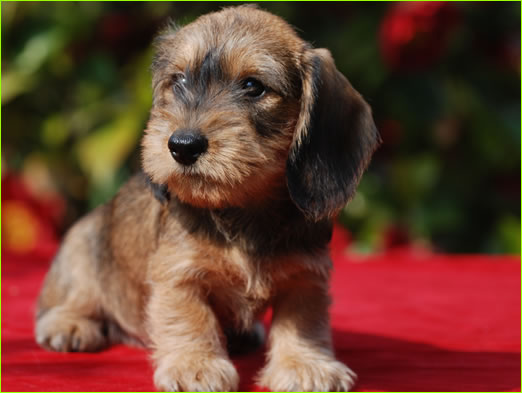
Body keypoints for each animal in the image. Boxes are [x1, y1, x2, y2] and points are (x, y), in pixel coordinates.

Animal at [35, 4, 378, 390]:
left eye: (252, 86)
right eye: (179, 81)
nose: (182, 146)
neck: (243, 212)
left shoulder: (305, 275)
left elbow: (303, 320)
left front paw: (305, 364)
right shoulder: (179, 274)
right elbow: (190, 317)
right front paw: (195, 365)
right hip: (82, 247)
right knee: (72, 299)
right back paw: (69, 324)